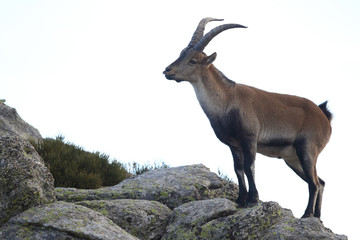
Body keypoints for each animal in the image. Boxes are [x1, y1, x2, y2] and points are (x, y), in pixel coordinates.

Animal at [163, 17, 332, 218]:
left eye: (193, 60)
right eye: (181, 54)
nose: (167, 70)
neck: (227, 100)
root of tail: (324, 116)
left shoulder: (249, 138)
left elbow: (249, 167)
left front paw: (253, 200)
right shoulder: (233, 144)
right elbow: (238, 169)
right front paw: (240, 200)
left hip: (307, 148)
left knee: (314, 183)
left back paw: (306, 215)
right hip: (293, 158)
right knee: (320, 181)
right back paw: (317, 217)